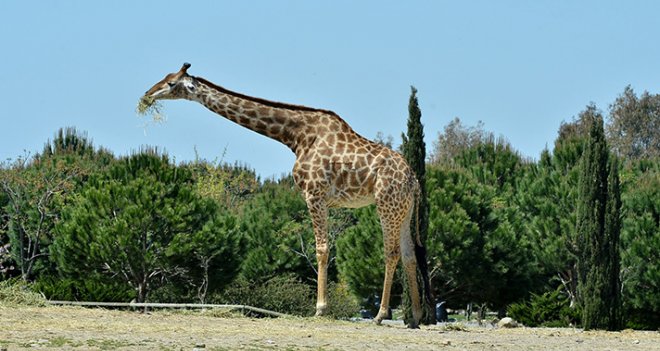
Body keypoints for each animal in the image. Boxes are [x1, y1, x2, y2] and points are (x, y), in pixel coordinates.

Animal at [144, 62, 422, 328]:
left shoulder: (314, 195)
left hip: (386, 204)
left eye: (171, 83)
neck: (296, 136)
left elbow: (322, 249)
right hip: (404, 209)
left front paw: (320, 309)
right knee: (410, 255)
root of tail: (414, 180)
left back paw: (381, 315)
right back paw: (416, 317)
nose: (147, 94)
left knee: (392, 253)